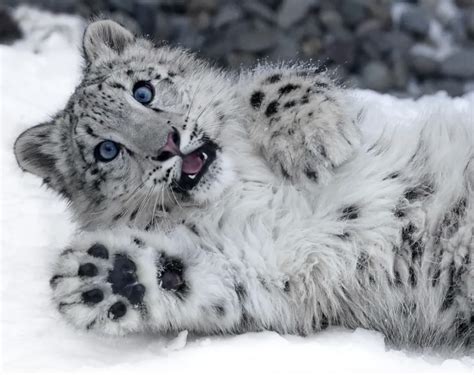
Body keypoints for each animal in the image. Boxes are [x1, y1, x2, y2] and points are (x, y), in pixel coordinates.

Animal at [12, 20, 472, 354]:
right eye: (106, 150)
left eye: (142, 90)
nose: (168, 144)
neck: (240, 185)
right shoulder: (270, 267)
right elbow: (205, 278)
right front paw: (105, 275)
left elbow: (265, 81)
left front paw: (313, 138)